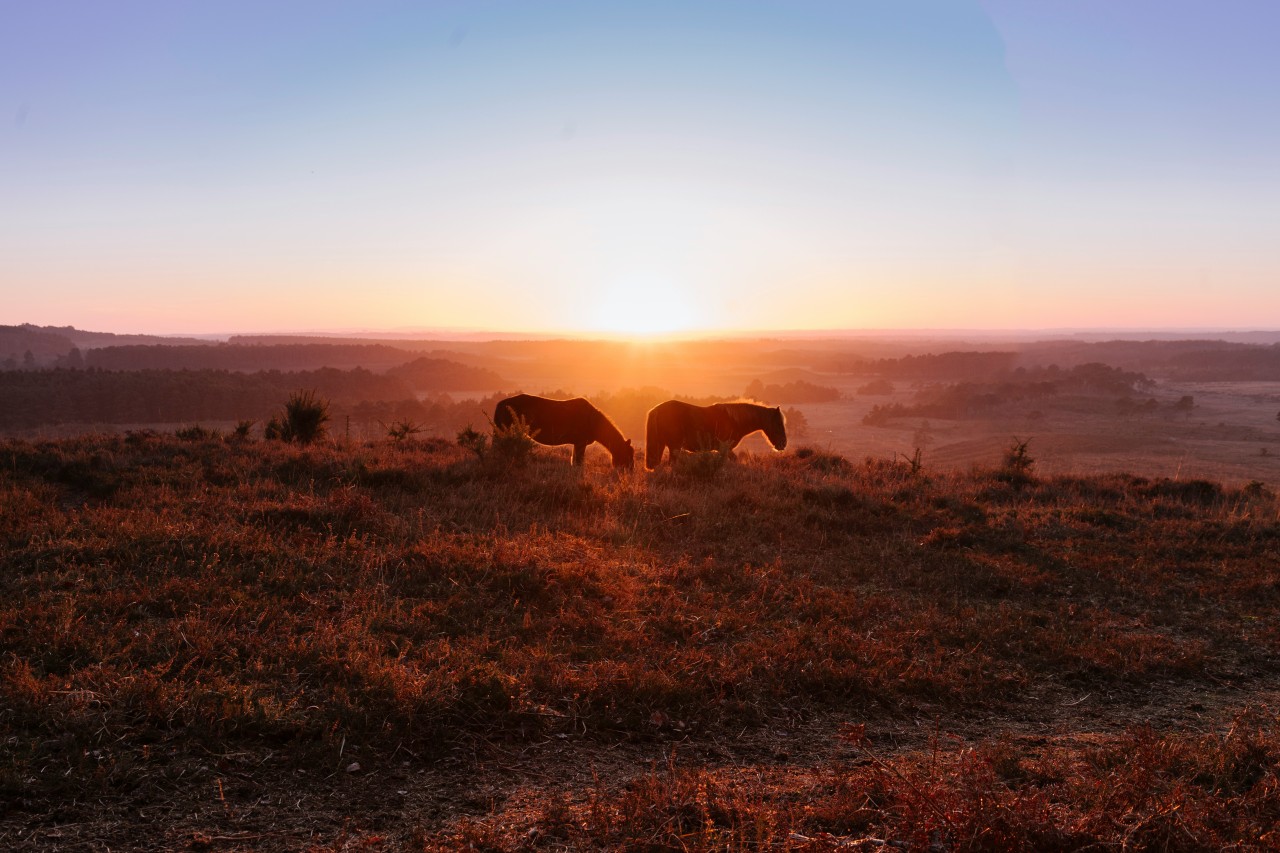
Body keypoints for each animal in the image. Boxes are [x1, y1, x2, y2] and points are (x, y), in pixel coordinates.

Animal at [494, 394, 635, 469]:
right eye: (628, 455)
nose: (630, 472)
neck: (593, 421)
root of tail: (501, 404)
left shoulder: (578, 444)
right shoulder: (580, 443)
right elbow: (578, 463)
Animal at [644, 400, 787, 470]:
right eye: (778, 424)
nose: (783, 444)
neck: (734, 420)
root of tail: (656, 410)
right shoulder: (725, 448)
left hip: (663, 444)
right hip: (674, 446)